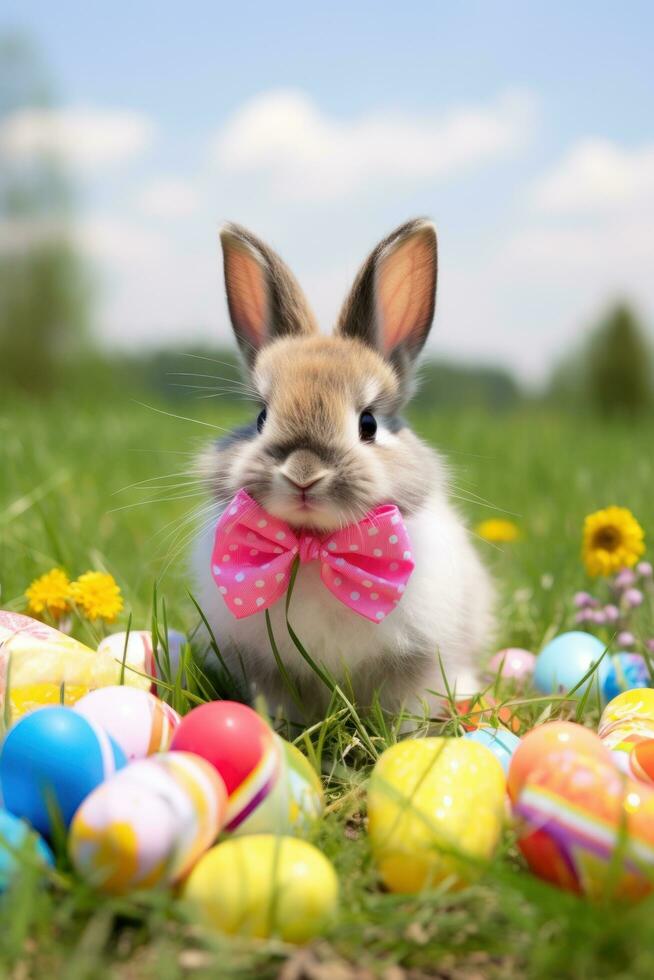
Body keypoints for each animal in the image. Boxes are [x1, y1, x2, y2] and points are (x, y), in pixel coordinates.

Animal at [192, 220, 494, 728]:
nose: (303, 474)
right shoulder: (266, 671)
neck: (314, 547)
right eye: (260, 417)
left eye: (368, 424)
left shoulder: (417, 664)